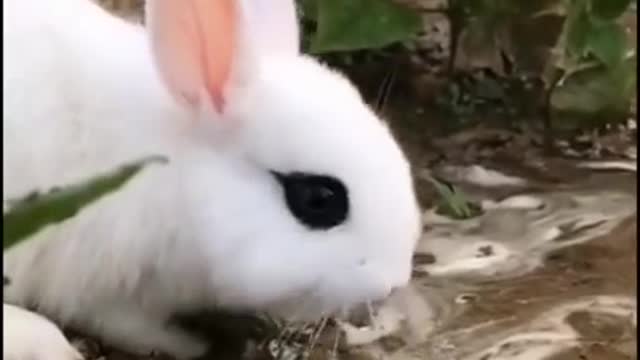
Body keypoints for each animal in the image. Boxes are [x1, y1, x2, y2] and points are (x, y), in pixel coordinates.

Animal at [5, 0, 424, 358]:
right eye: (318, 199)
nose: (394, 280)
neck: (177, 172)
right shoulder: (104, 283)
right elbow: (126, 325)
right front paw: (186, 344)